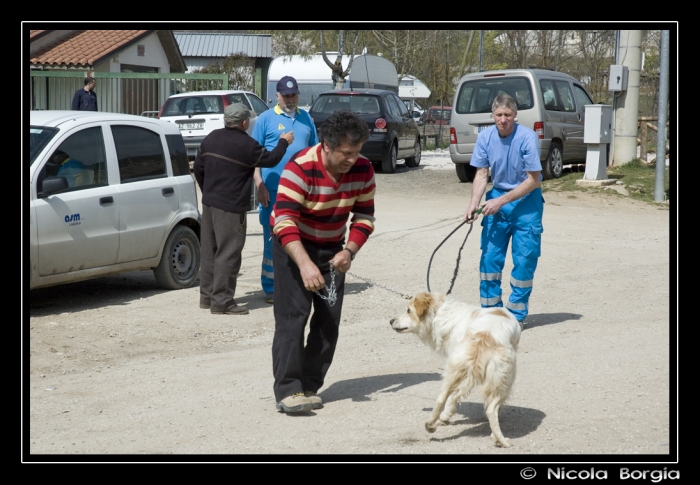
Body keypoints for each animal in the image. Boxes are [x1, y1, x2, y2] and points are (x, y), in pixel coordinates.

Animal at [388, 292, 520, 446]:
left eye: (408, 310)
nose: (391, 321)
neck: (438, 313)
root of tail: (483, 339)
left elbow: (453, 397)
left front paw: (444, 417)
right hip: (506, 380)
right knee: (491, 410)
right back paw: (501, 440)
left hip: (454, 370)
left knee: (441, 399)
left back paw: (430, 424)